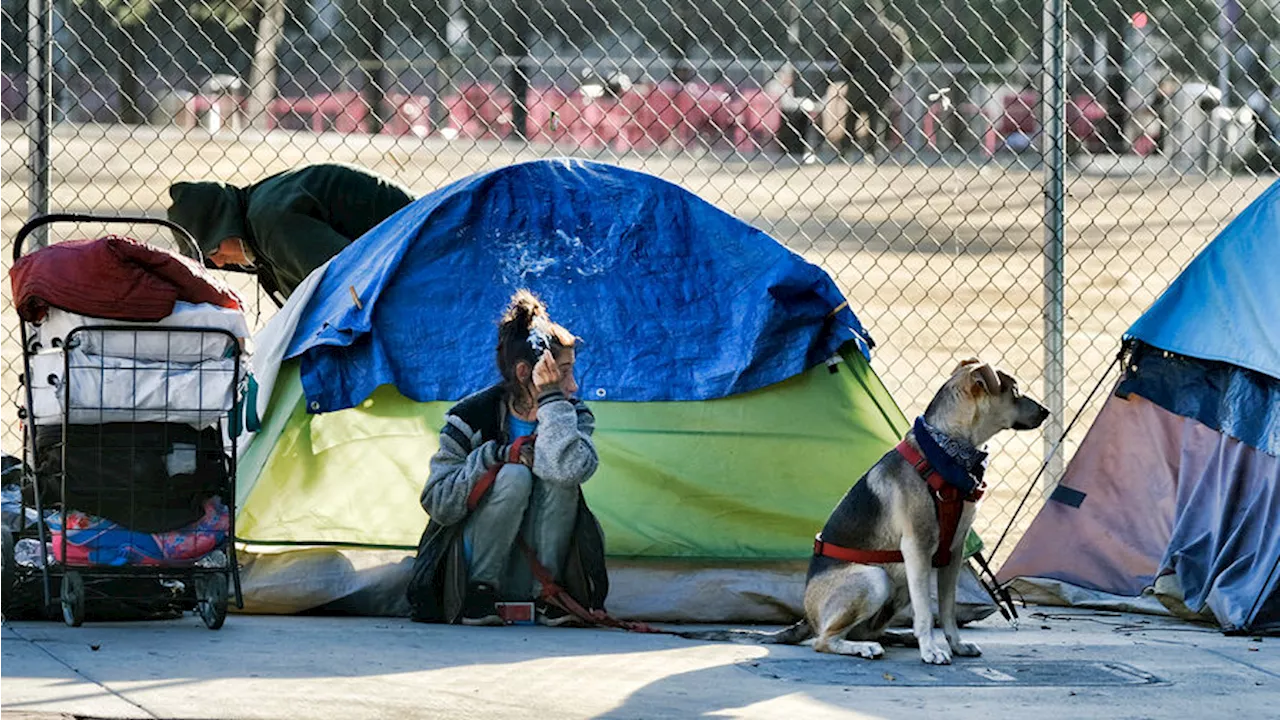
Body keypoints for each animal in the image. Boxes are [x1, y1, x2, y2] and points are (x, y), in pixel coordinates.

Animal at [680, 358, 1049, 661]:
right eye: (1015, 390)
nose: (1046, 411)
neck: (947, 450)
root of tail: (808, 616)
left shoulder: (953, 554)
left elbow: (945, 611)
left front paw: (954, 645)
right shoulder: (918, 549)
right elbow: (926, 613)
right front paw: (931, 650)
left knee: (862, 629)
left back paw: (896, 638)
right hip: (874, 579)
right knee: (824, 640)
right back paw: (867, 647)